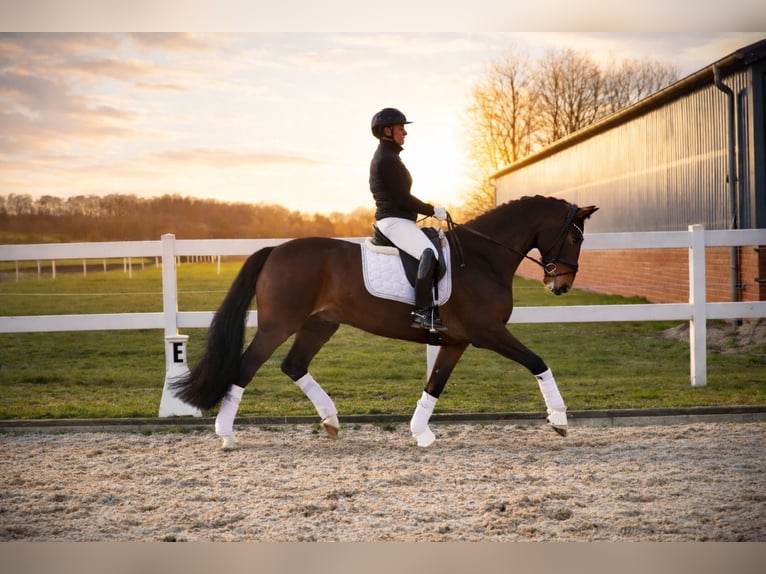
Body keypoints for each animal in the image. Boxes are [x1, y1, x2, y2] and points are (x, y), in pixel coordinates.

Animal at [171, 195, 598, 450]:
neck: (482, 258)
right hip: (279, 325)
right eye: (576, 238)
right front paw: (559, 420)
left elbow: (434, 384)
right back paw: (226, 435)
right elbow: (538, 362)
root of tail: (276, 250)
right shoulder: (489, 333)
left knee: (293, 365)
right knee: (245, 367)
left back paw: (331, 421)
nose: (560, 285)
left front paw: (421, 432)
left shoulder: (456, 341)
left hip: (320, 324)